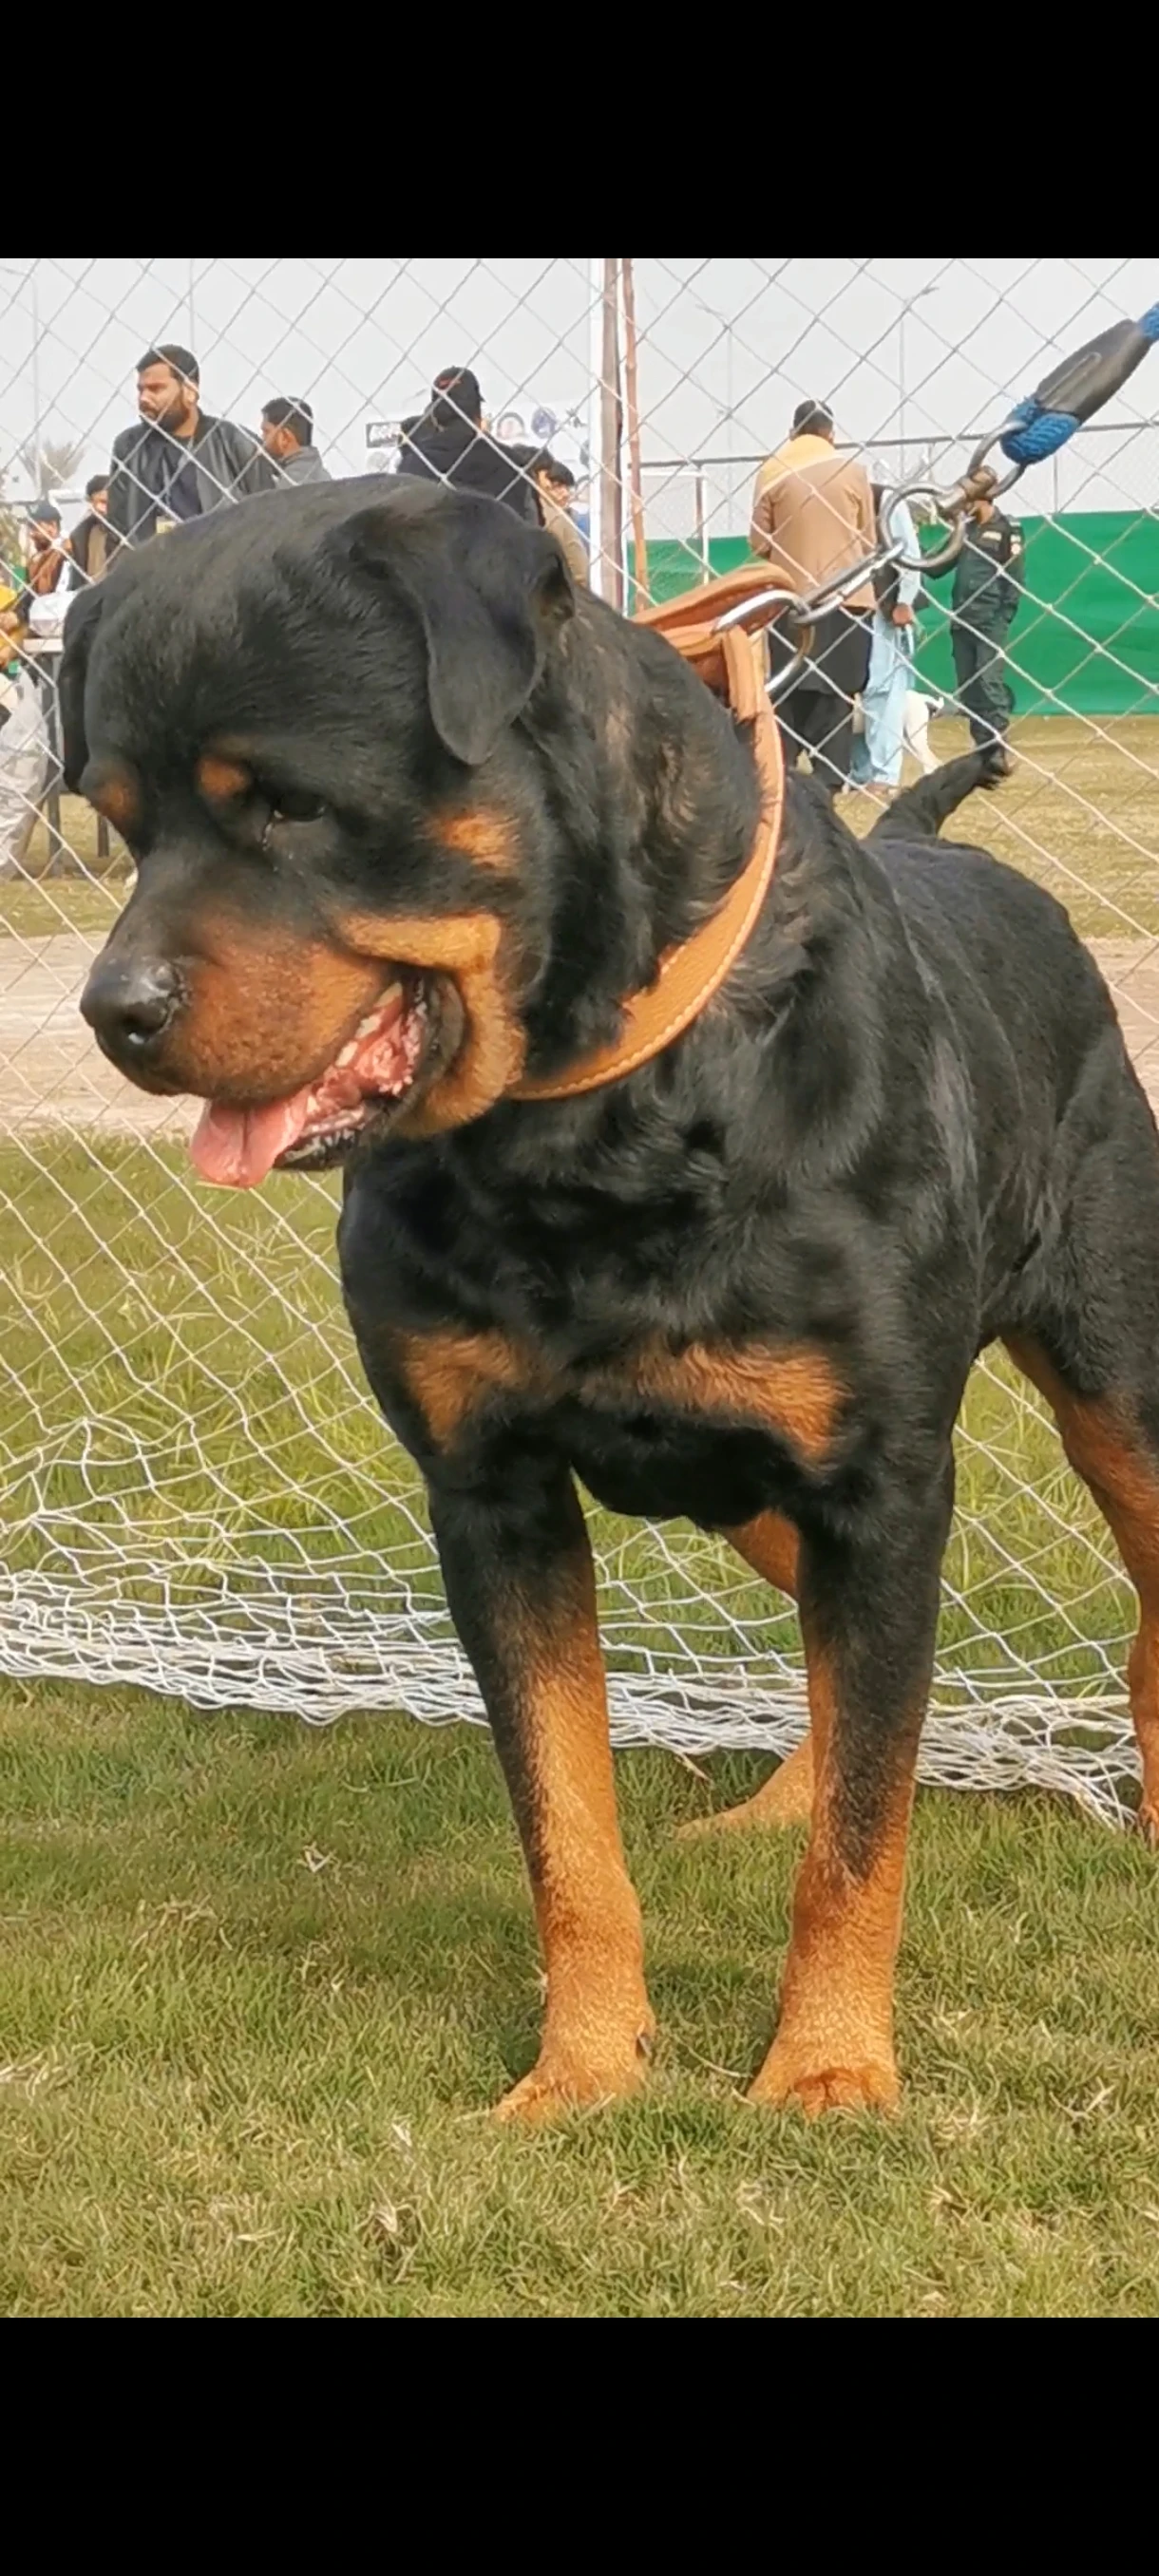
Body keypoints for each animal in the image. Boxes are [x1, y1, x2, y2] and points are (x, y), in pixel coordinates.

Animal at [59, 479, 1159, 2112]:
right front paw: (582, 2070)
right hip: (752, 1484)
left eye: (288, 806)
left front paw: (828, 2069)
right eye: (123, 826)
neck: (589, 1121)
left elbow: (867, 1838)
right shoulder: (492, 1494)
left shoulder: (881, 1480)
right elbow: (567, 1823)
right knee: (836, 1664)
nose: (112, 1011)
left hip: (1113, 1381)